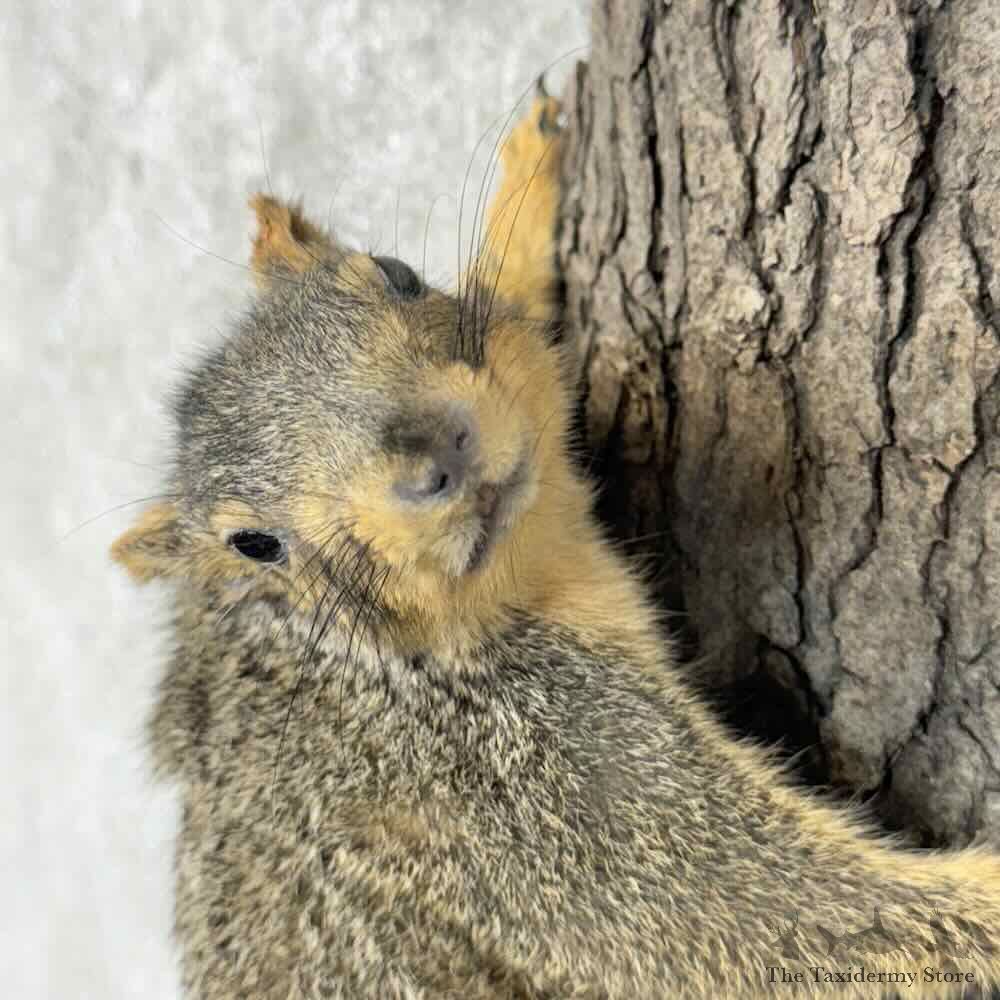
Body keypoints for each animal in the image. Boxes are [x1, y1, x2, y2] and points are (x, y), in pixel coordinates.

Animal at [112, 88, 1000, 999]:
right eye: (255, 545)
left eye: (396, 273)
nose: (441, 449)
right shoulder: (525, 785)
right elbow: (763, 915)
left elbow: (509, 306)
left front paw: (530, 185)